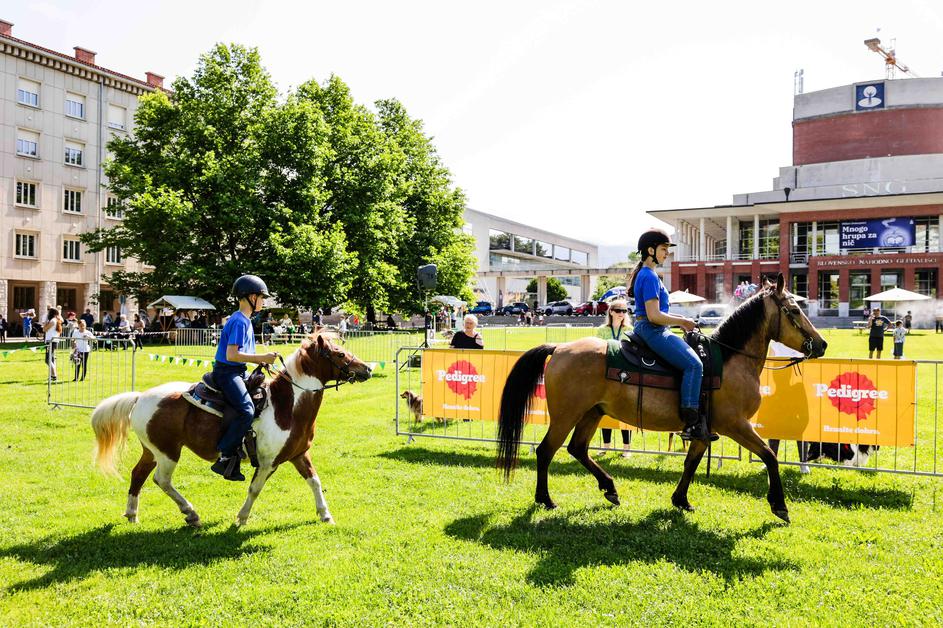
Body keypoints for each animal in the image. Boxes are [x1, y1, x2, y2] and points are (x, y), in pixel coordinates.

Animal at [91, 333, 372, 528]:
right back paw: (191, 513)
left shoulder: (298, 455)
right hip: (168, 452)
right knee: (161, 480)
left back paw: (132, 514)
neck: (287, 406)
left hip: (152, 450)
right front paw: (242, 517)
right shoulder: (268, 462)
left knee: (138, 474)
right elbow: (255, 489)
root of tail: (140, 397)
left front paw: (325, 515)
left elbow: (315, 481)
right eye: (339, 354)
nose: (367, 369)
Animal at [496, 274, 827, 523]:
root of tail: (560, 349)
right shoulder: (735, 424)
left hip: (592, 412)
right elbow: (769, 456)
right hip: (567, 415)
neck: (731, 361)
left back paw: (610, 488)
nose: (821, 344)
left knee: (577, 449)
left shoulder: (704, 430)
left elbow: (691, 463)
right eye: (794, 311)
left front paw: (681, 500)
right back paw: (546, 499)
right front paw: (779, 505)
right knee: (546, 451)